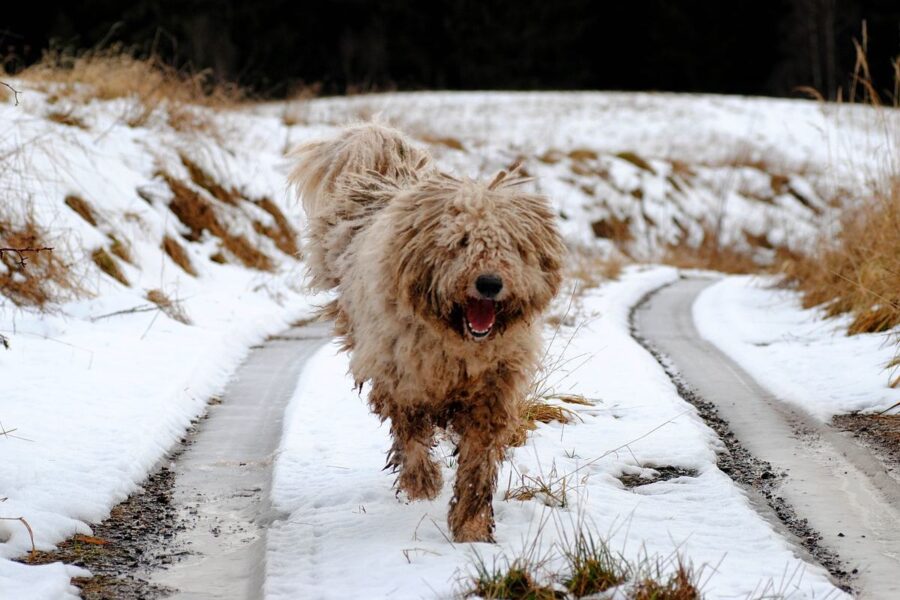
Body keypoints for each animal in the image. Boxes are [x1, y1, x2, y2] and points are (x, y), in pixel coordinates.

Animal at [288, 124, 564, 540]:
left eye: (512, 246)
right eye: (461, 242)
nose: (489, 283)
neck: (458, 342)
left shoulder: (493, 389)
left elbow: (478, 461)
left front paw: (471, 526)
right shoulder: (403, 378)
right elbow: (411, 433)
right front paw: (422, 484)